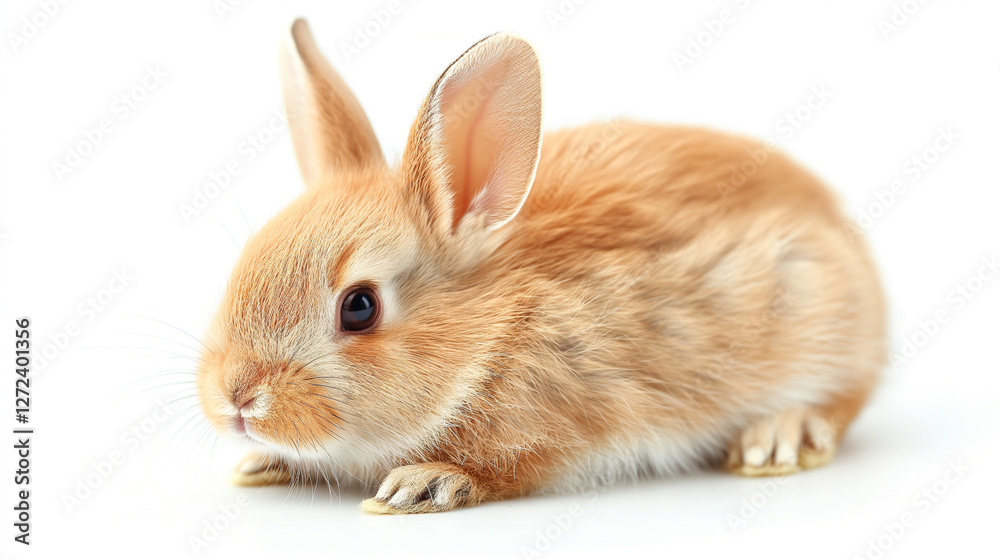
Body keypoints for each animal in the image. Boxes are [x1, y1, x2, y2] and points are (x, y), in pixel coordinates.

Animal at [196, 18, 886, 515]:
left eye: (359, 307)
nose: (238, 398)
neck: (490, 339)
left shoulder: (555, 431)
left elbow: (510, 468)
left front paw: (422, 484)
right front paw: (261, 464)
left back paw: (778, 437)